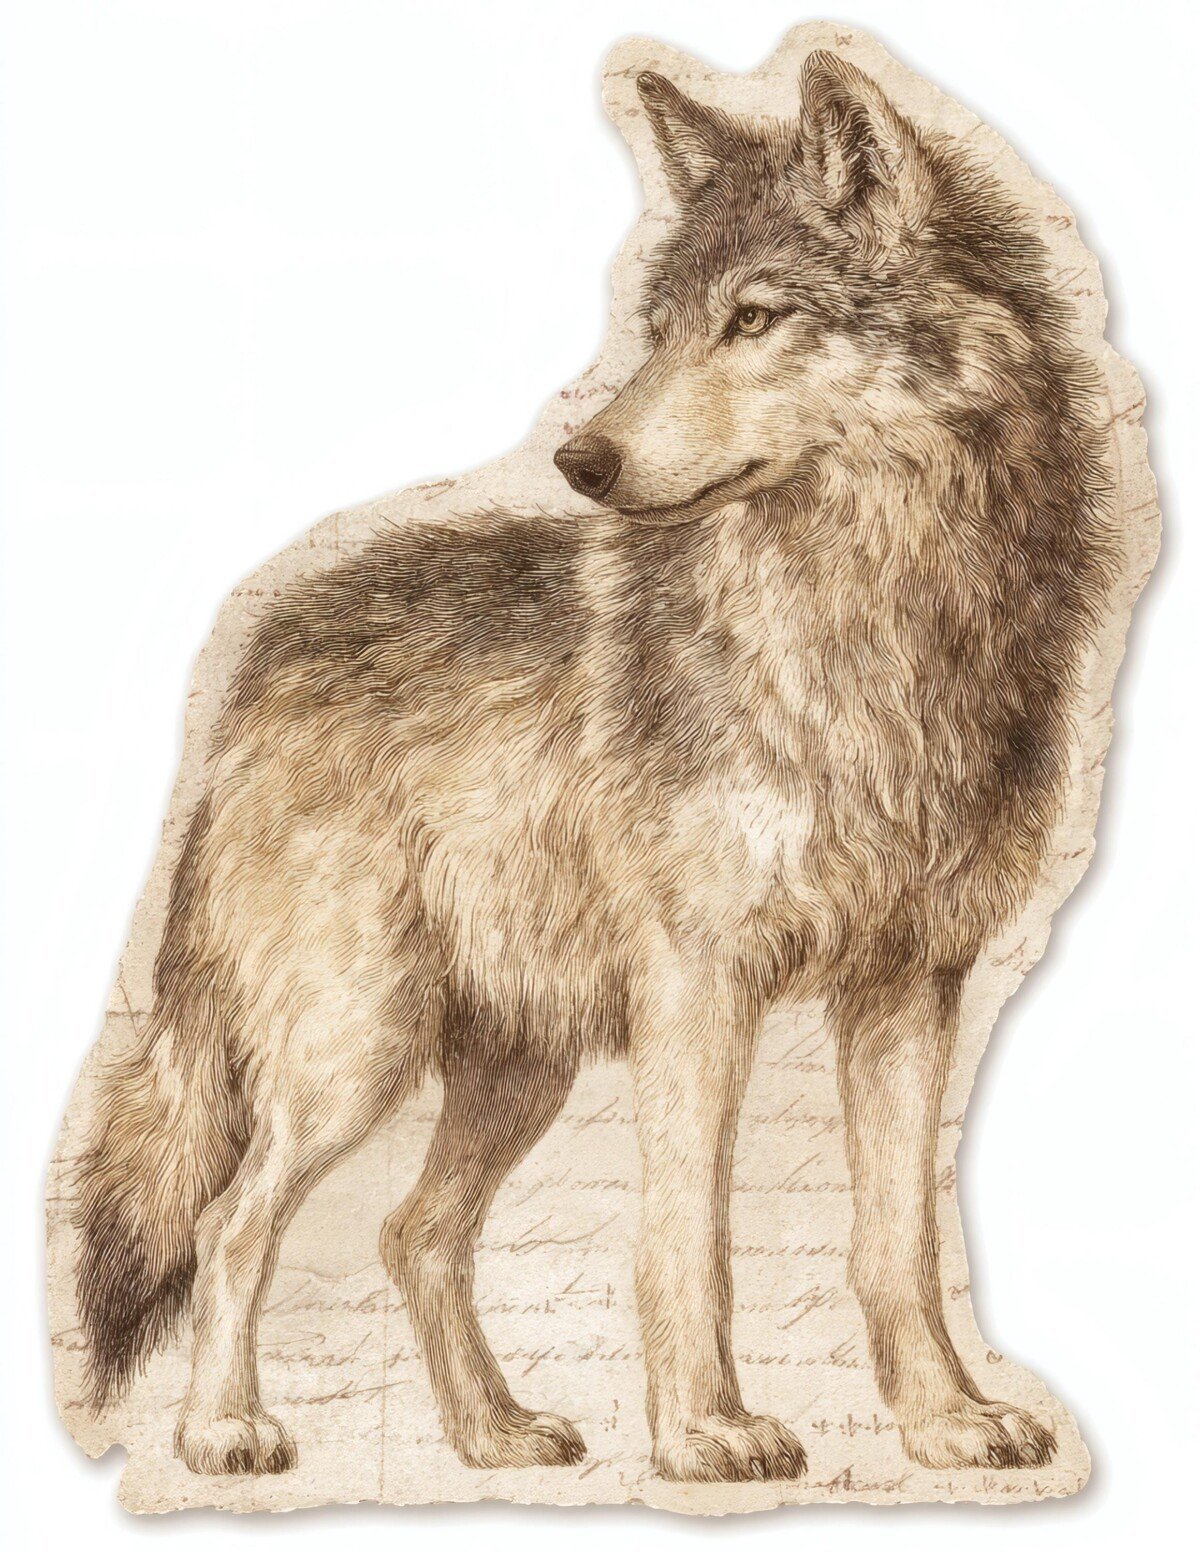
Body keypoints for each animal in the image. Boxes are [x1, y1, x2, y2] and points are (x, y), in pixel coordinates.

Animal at [74, 51, 1115, 1483]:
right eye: (659, 326)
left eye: (754, 317)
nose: (582, 460)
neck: (875, 611)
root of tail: (261, 653)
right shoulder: (700, 989)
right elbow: (687, 1236)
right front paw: (705, 1431)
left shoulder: (911, 987)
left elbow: (895, 1242)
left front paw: (946, 1422)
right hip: (355, 1051)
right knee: (233, 1221)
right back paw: (226, 1428)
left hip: (519, 1064)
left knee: (414, 1230)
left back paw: (491, 1431)